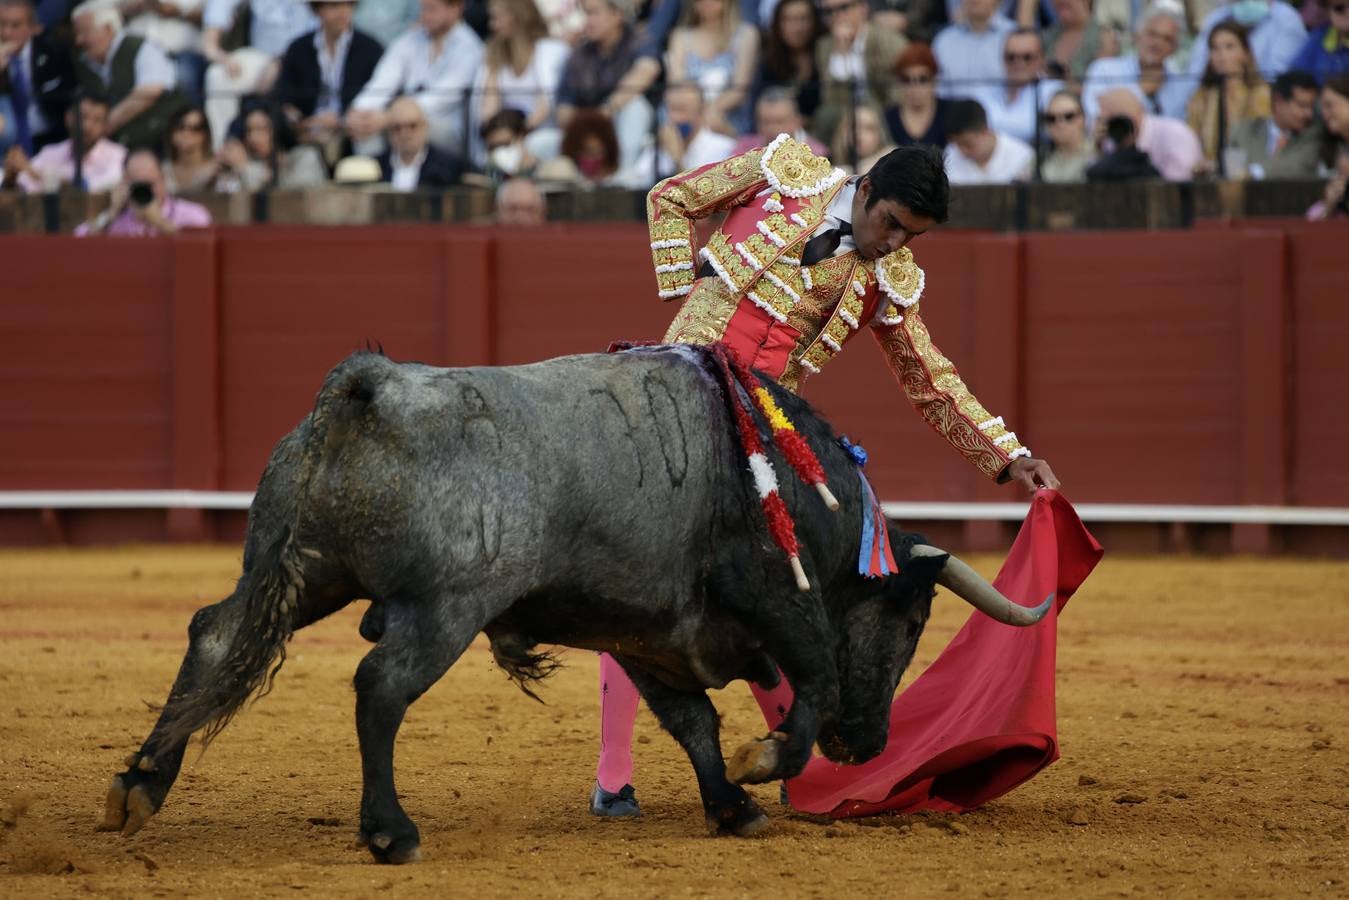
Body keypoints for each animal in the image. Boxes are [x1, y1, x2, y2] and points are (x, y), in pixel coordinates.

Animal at [97, 348, 1052, 863]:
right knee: (380, 686)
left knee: (216, 637)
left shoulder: (645, 629)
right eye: (911, 621)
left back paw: (138, 789)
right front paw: (764, 763)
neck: (795, 485)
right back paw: (390, 832)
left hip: (300, 570)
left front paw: (731, 807)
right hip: (444, 606)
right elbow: (806, 681)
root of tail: (374, 390)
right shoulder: (773, 599)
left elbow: (691, 720)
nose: (869, 746)